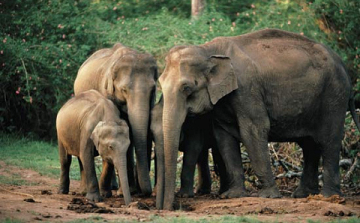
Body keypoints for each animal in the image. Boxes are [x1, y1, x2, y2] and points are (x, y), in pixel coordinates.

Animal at [74, 42, 157, 195]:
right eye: (124, 90)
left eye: (153, 90)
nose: (146, 191)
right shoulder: (106, 91)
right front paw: (125, 192)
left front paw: (131, 190)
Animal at [157, 28, 360, 210]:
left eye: (187, 88)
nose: (170, 208)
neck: (208, 50)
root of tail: (343, 65)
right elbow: (224, 137)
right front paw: (232, 195)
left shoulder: (247, 89)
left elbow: (253, 131)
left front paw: (268, 196)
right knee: (309, 145)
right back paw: (303, 195)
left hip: (334, 96)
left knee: (329, 141)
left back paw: (329, 197)